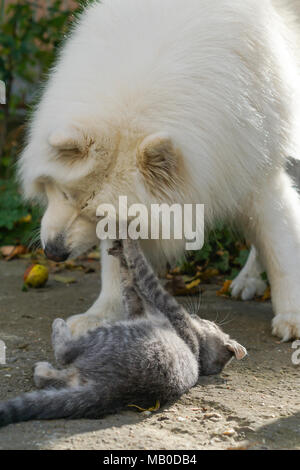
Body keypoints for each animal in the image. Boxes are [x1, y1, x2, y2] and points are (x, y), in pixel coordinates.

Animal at [0, 241, 246, 428]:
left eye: (210, 322)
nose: (198, 316)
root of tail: (112, 389)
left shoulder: (166, 306)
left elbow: (144, 273)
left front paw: (130, 243)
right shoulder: (136, 309)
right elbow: (129, 284)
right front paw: (119, 253)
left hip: (110, 332)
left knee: (63, 353)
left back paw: (59, 328)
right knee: (51, 379)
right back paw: (42, 368)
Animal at [17, 0, 300, 340]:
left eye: (97, 214)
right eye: (64, 194)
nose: (54, 253)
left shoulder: (255, 173)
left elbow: (281, 250)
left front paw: (292, 316)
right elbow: (117, 269)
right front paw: (99, 316)